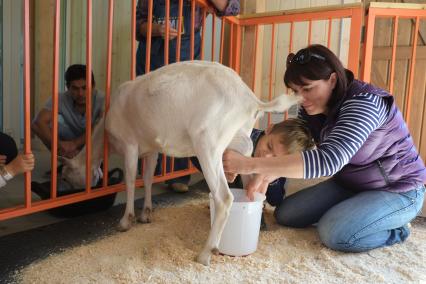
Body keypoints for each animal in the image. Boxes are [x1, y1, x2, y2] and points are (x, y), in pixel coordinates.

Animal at [61, 60, 298, 266]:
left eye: (66, 175)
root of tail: (251, 99)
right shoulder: (151, 149)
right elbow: (147, 178)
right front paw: (146, 213)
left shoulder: (130, 145)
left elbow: (129, 181)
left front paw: (126, 221)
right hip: (239, 136)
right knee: (248, 172)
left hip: (208, 142)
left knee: (224, 197)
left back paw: (205, 253)